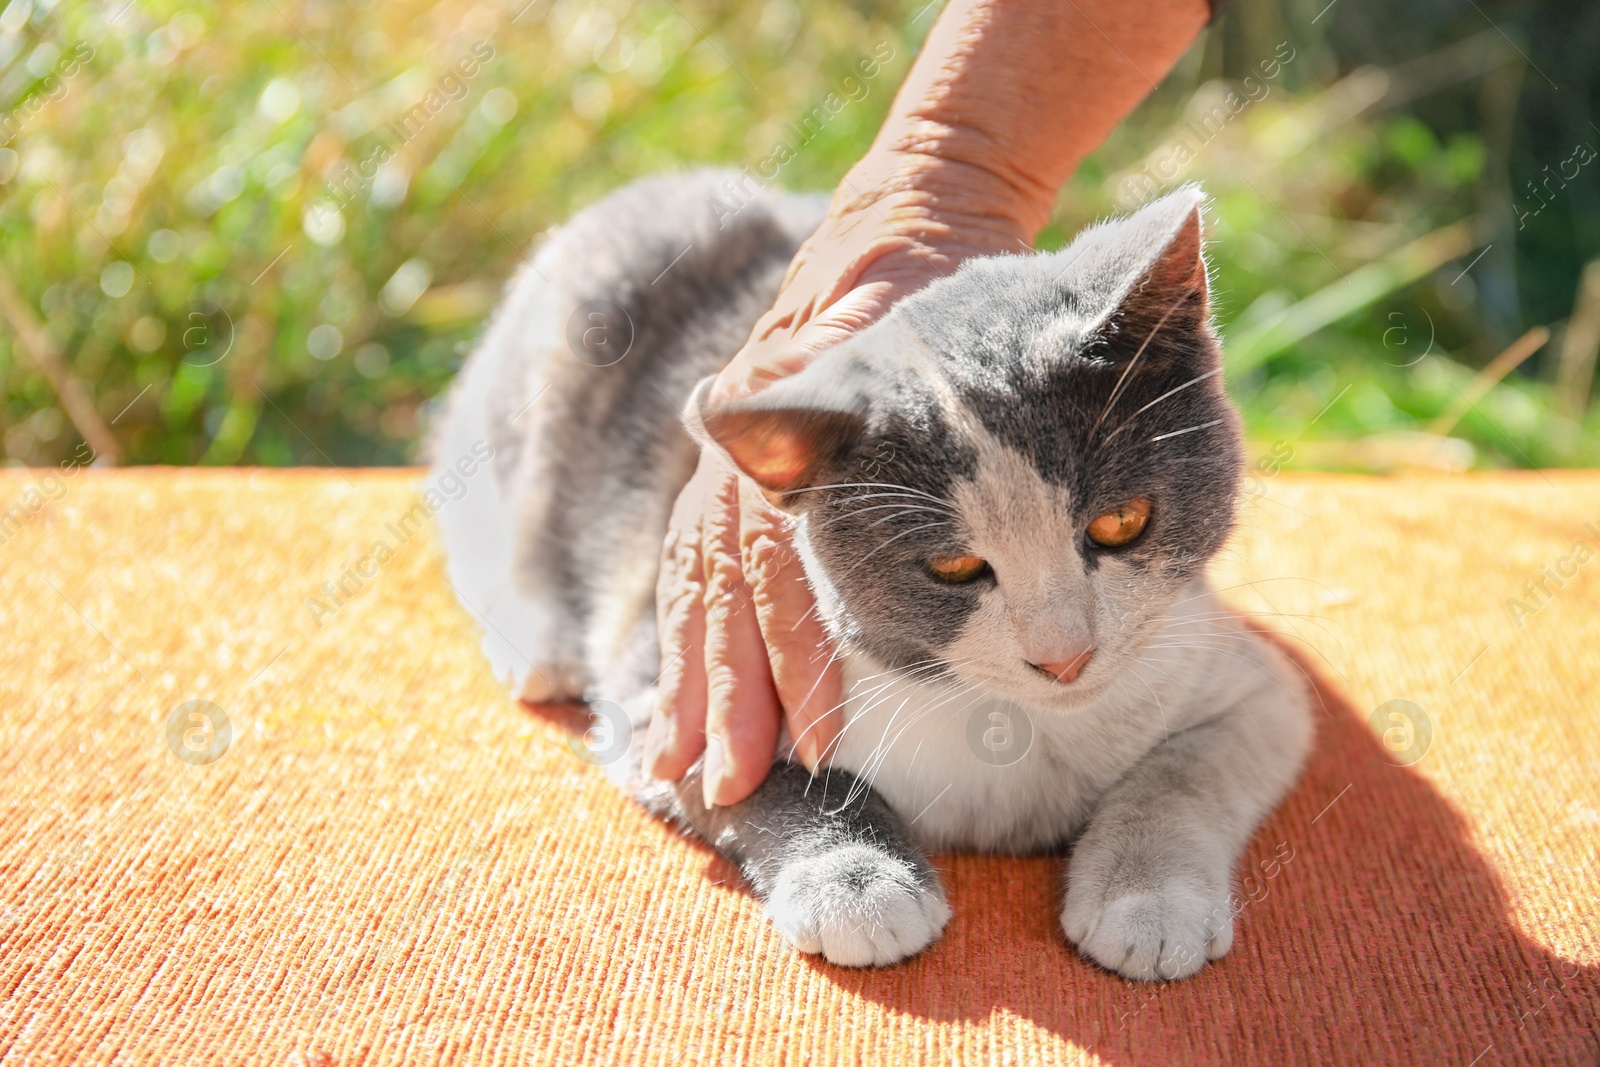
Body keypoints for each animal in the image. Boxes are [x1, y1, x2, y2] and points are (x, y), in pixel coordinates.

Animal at [432, 168, 1305, 985]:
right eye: (954, 567)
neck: (1012, 725)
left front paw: (1147, 899)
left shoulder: (1243, 679)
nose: (1065, 656)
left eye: (1121, 522)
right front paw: (855, 881)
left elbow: (1183, 774)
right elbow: (766, 777)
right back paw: (537, 642)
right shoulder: (683, 686)